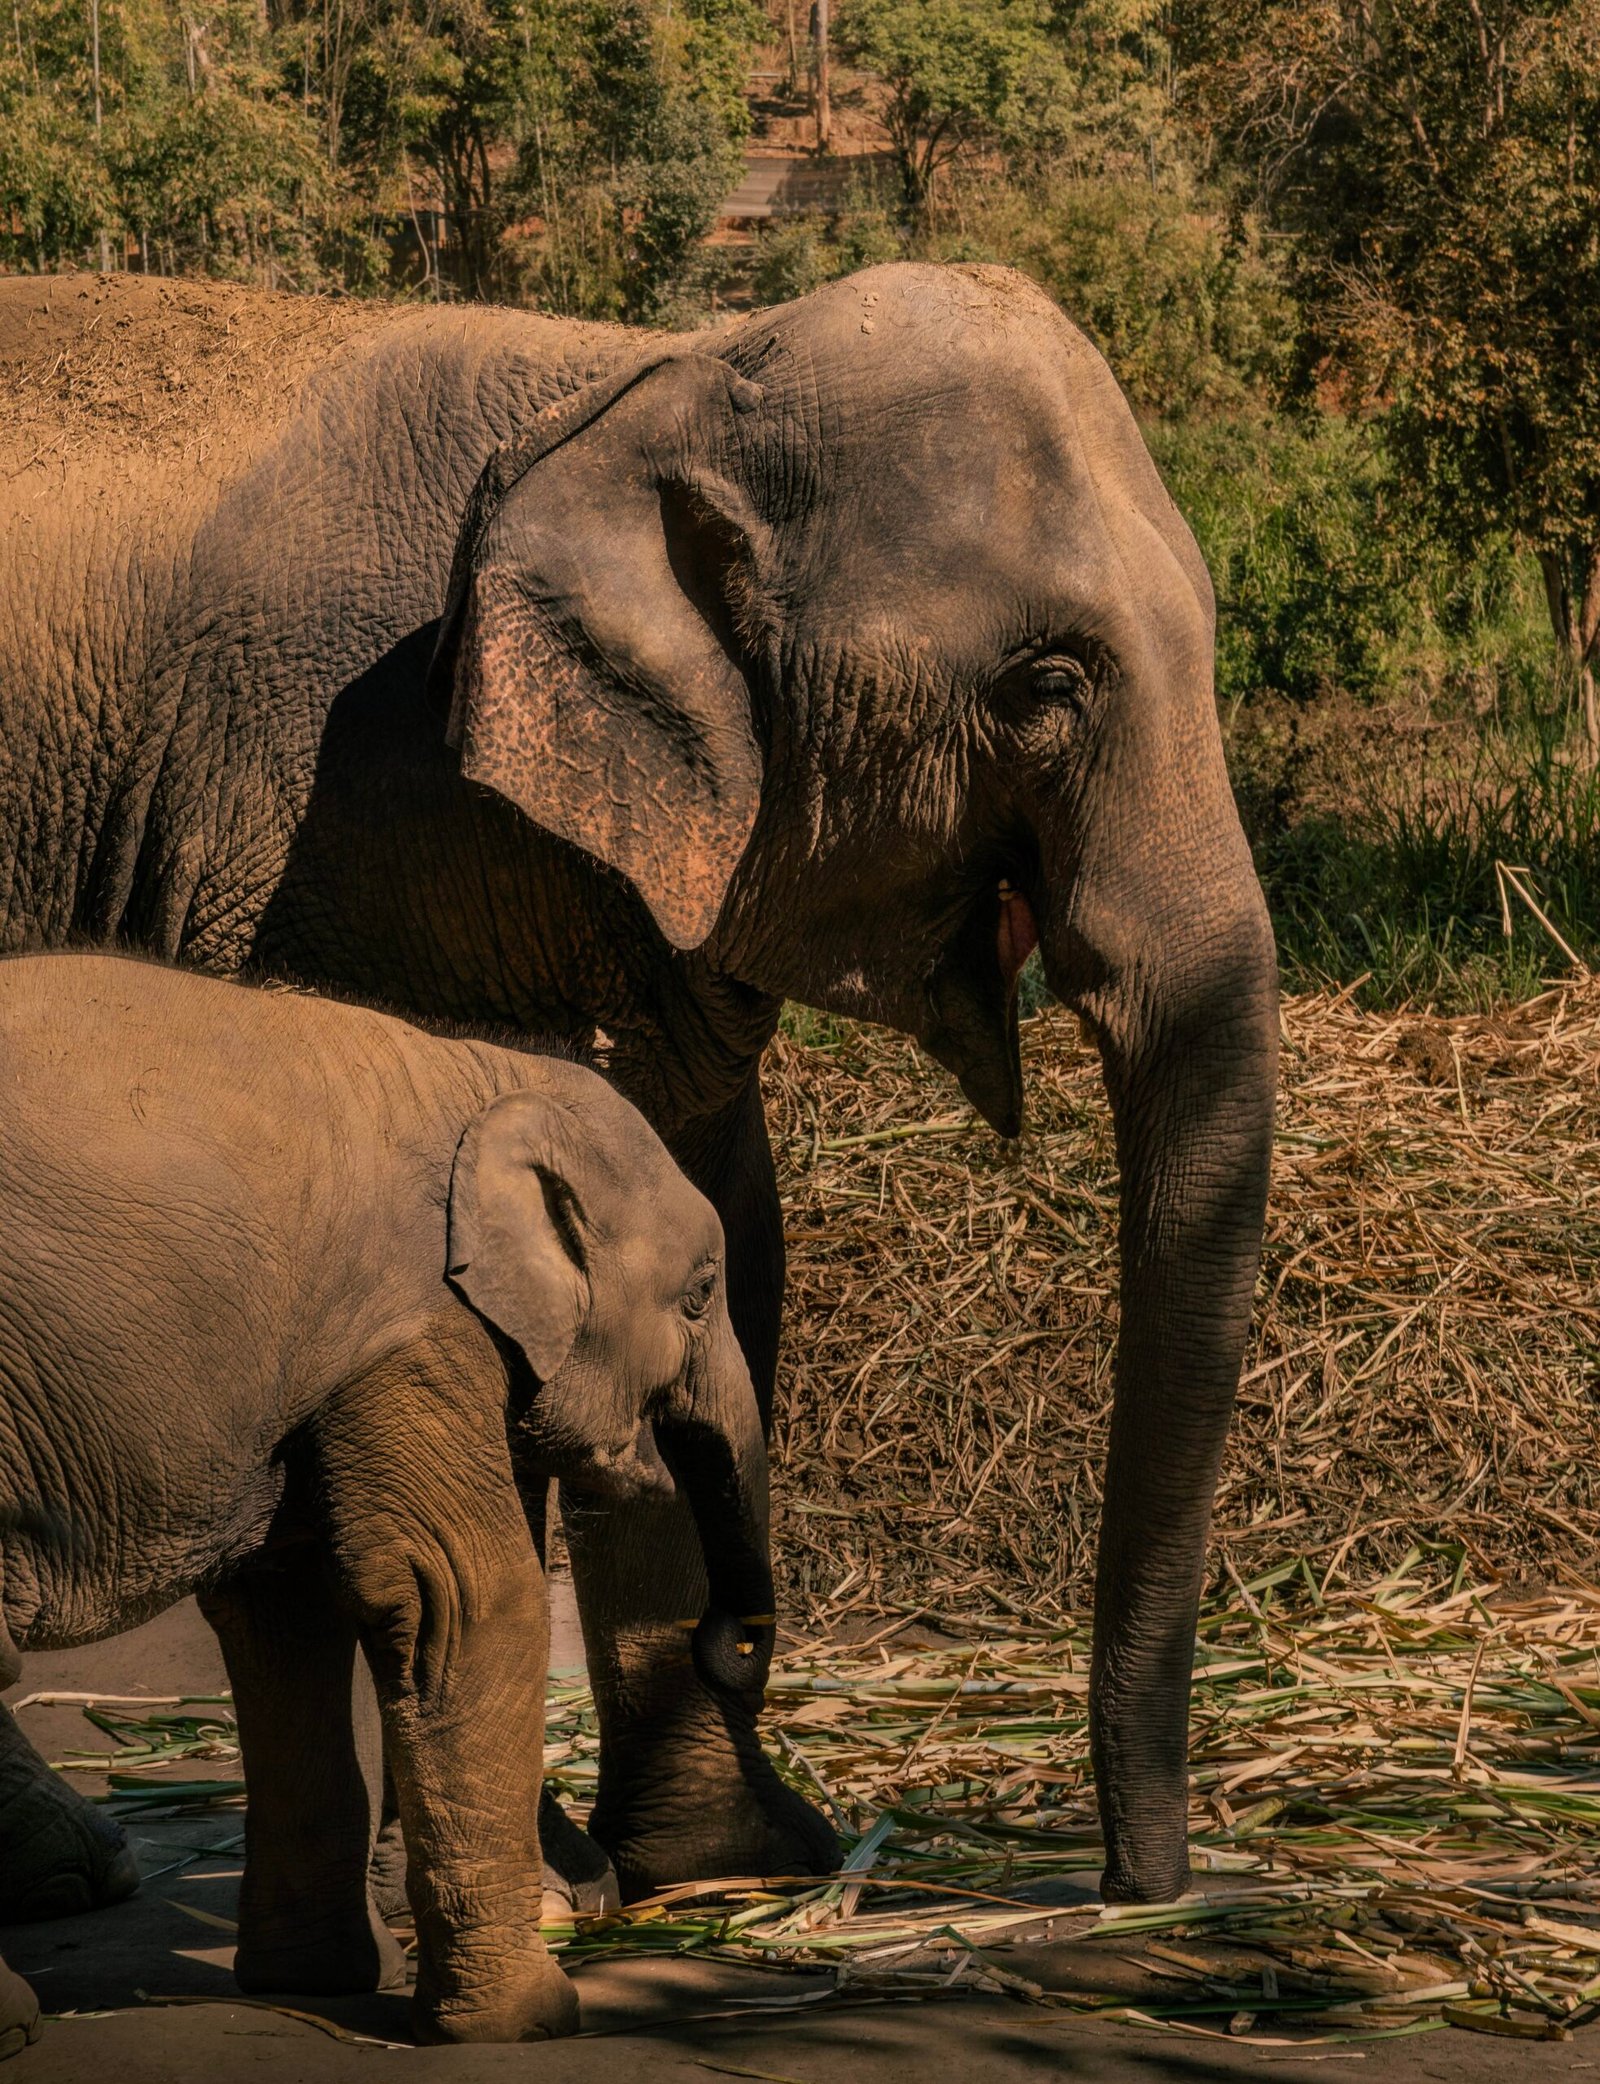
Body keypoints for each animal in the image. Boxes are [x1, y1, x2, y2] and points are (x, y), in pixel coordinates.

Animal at [0, 258, 1278, 1911]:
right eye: (1045, 683)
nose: (1132, 1885)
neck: (652, 375)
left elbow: (718, 1220)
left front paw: (717, 1866)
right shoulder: (326, 831)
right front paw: (549, 1887)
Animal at [0, 951, 776, 2050]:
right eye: (702, 1292)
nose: (728, 1643)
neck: (485, 1071)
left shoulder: (320, 1355)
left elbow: (286, 1604)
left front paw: (313, 1982)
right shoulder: (419, 1323)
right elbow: (461, 1594)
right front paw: (533, 2021)